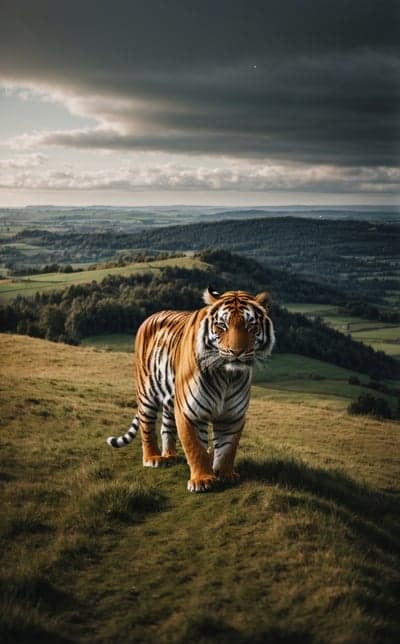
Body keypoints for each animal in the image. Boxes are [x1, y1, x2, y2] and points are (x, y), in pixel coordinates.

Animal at [107, 287, 275, 492]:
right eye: (222, 326)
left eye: (251, 326)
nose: (236, 352)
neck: (227, 377)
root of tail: (151, 316)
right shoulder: (190, 412)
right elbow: (196, 448)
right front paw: (202, 480)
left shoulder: (232, 415)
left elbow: (228, 448)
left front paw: (226, 474)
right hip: (147, 393)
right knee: (147, 426)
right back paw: (153, 458)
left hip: (171, 400)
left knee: (166, 426)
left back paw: (169, 455)